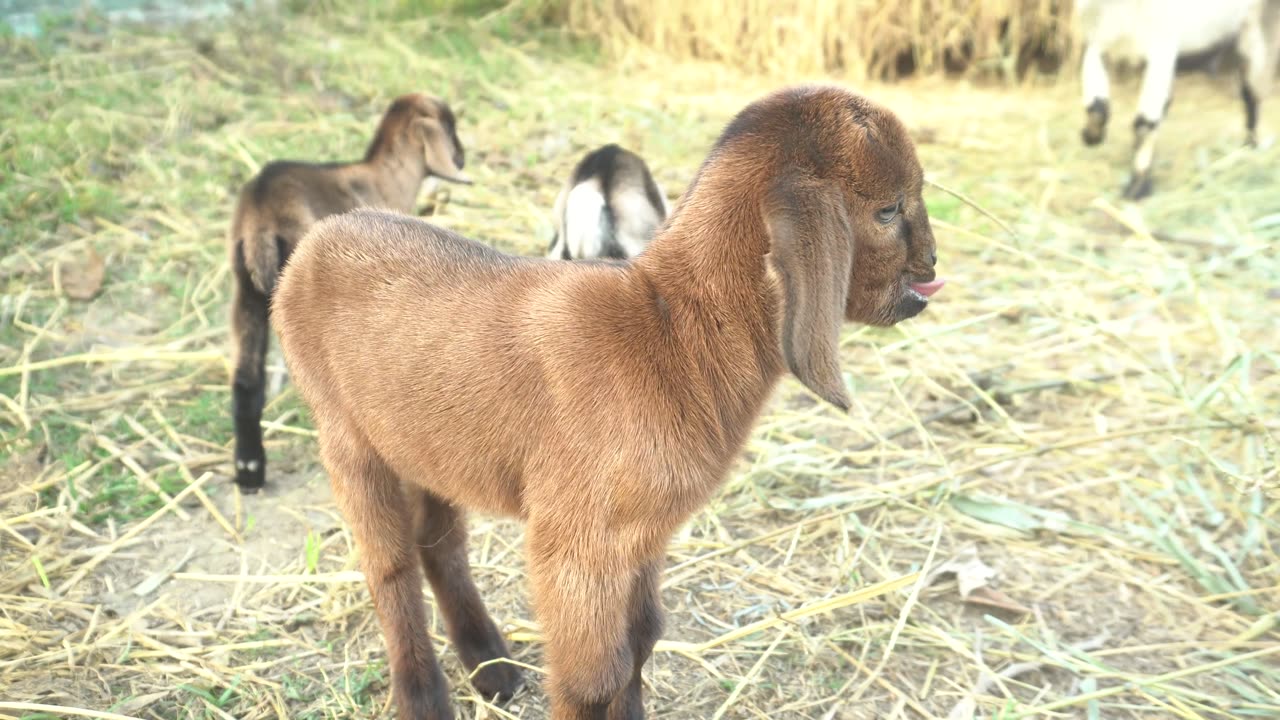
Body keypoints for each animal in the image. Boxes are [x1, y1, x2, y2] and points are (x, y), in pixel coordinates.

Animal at [1075, 0, 1274, 198]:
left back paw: (1250, 146)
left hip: (1252, 32)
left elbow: (1144, 124)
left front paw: (1138, 186)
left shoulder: (1161, 52)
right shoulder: (1098, 45)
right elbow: (1097, 109)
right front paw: (1090, 137)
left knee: (1251, 95)